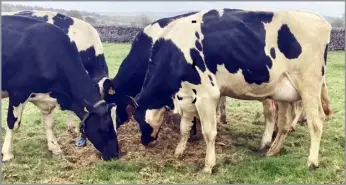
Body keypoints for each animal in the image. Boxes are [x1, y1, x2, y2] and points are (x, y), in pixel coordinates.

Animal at [1, 15, 121, 161]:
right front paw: (7, 154)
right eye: (105, 128)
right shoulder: (18, 92)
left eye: (116, 124)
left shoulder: (47, 97)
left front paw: (55, 148)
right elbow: (13, 123)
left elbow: (50, 124)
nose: (115, 155)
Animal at [103, 9, 332, 173]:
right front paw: (179, 151)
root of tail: (320, 20)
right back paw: (272, 150)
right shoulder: (188, 95)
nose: (144, 141)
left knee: (316, 122)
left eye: (136, 117)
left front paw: (208, 164)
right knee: (283, 124)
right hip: (284, 92)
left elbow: (209, 132)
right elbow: (184, 127)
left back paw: (312, 162)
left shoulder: (207, 95)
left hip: (309, 86)